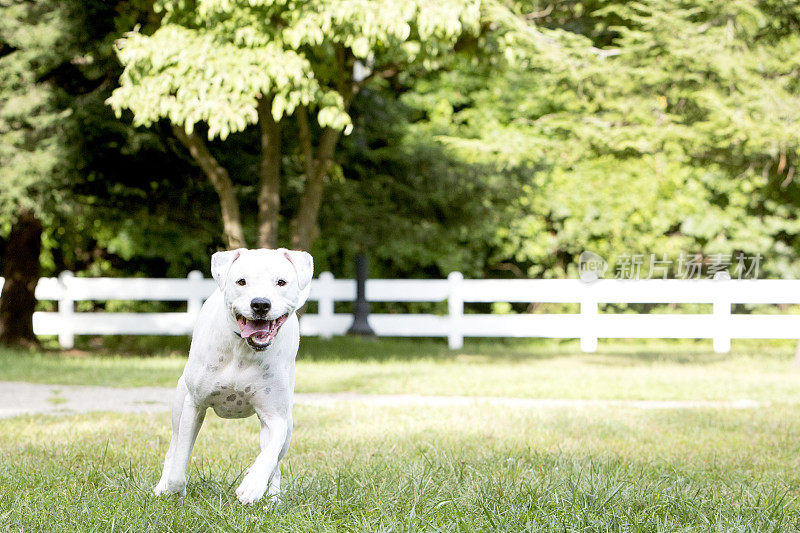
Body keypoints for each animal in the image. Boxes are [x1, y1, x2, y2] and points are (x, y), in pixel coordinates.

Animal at [153, 245, 312, 502]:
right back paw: (161, 487)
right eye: (241, 281)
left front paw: (253, 484)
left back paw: (272, 497)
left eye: (281, 282)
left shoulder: (276, 416)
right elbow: (180, 460)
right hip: (178, 403)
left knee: (276, 464)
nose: (260, 304)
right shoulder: (194, 405)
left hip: (287, 425)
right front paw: (175, 489)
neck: (243, 349)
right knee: (173, 448)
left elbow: (270, 453)